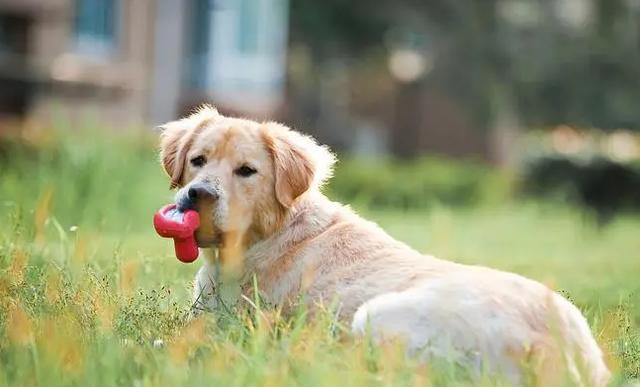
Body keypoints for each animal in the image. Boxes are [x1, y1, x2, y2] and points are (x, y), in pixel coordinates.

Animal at [160, 106, 608, 387]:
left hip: (375, 316)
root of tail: (562, 350)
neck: (271, 234)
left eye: (247, 171)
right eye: (198, 160)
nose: (197, 195)